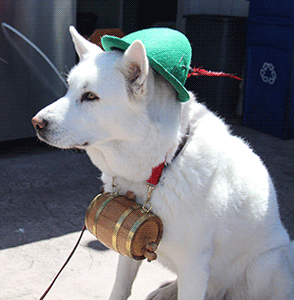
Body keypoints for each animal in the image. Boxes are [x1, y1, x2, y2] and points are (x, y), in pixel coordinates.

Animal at [32, 27, 294, 298]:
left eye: (90, 96)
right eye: (69, 90)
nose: (36, 123)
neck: (163, 164)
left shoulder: (194, 263)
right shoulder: (129, 243)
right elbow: (121, 287)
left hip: (264, 265)